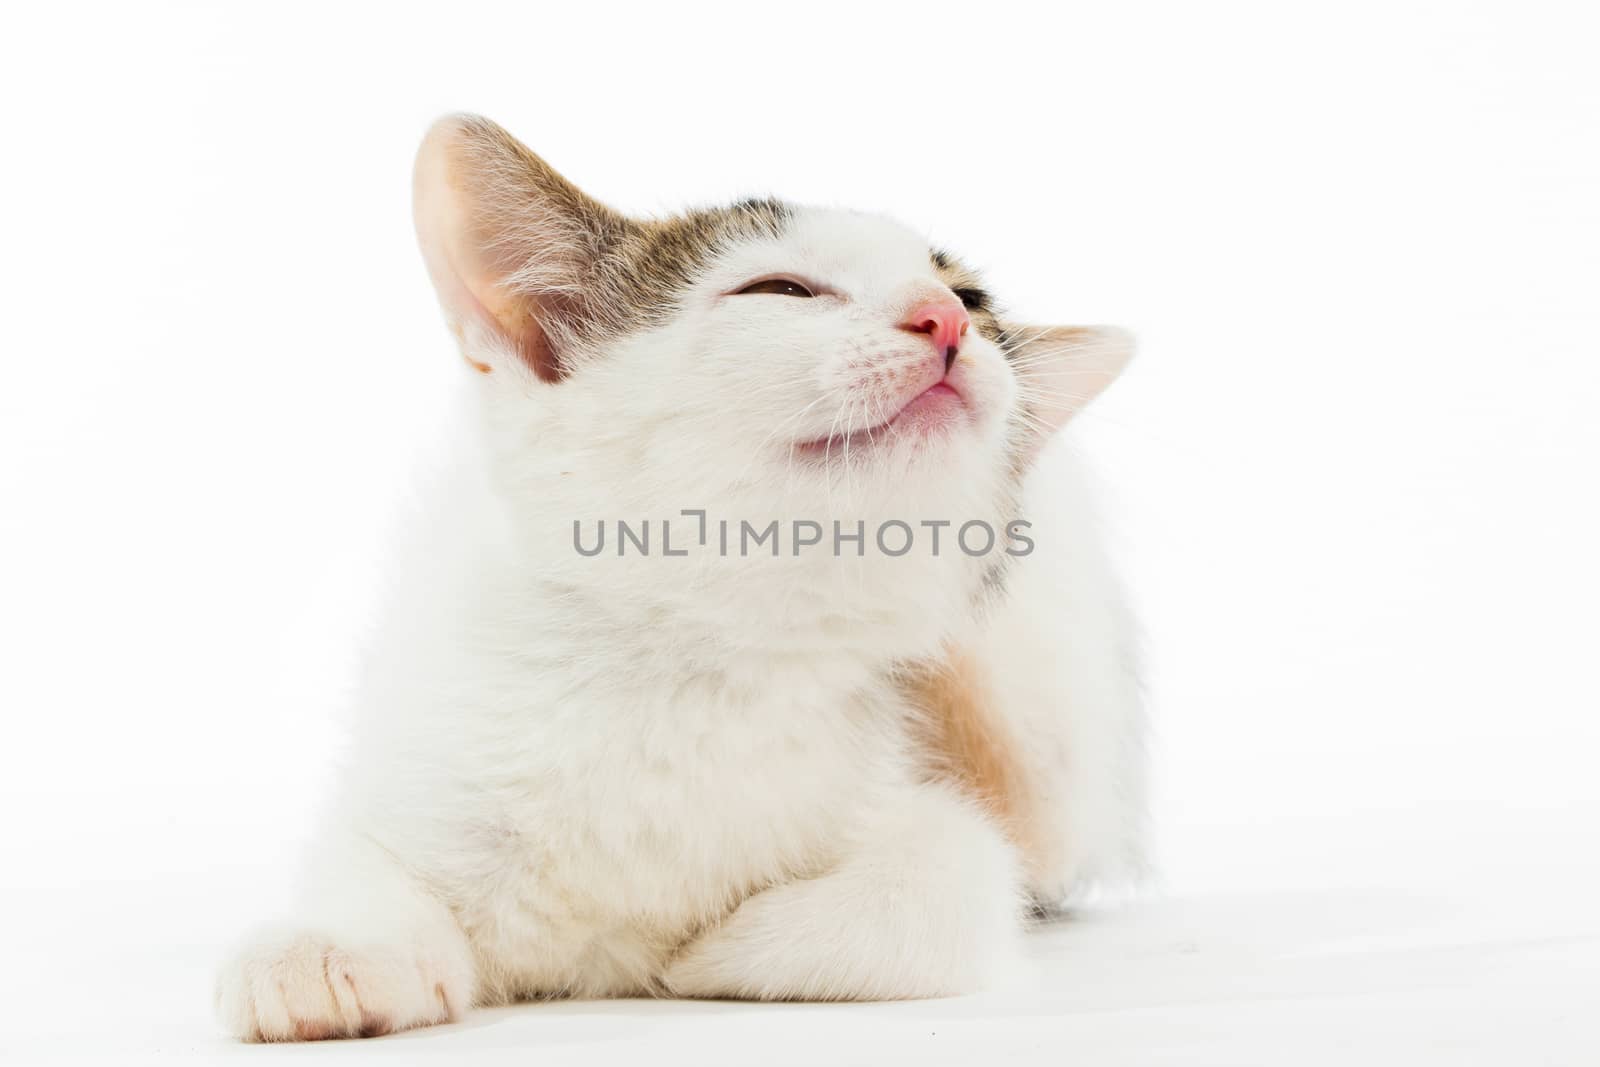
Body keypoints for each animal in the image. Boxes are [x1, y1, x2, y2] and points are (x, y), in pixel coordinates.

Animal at [212, 116, 1145, 1043]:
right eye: (782, 289)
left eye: (977, 304)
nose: (946, 318)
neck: (698, 657)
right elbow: (363, 858)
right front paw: (330, 948)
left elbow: (960, 880)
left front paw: (711, 955)